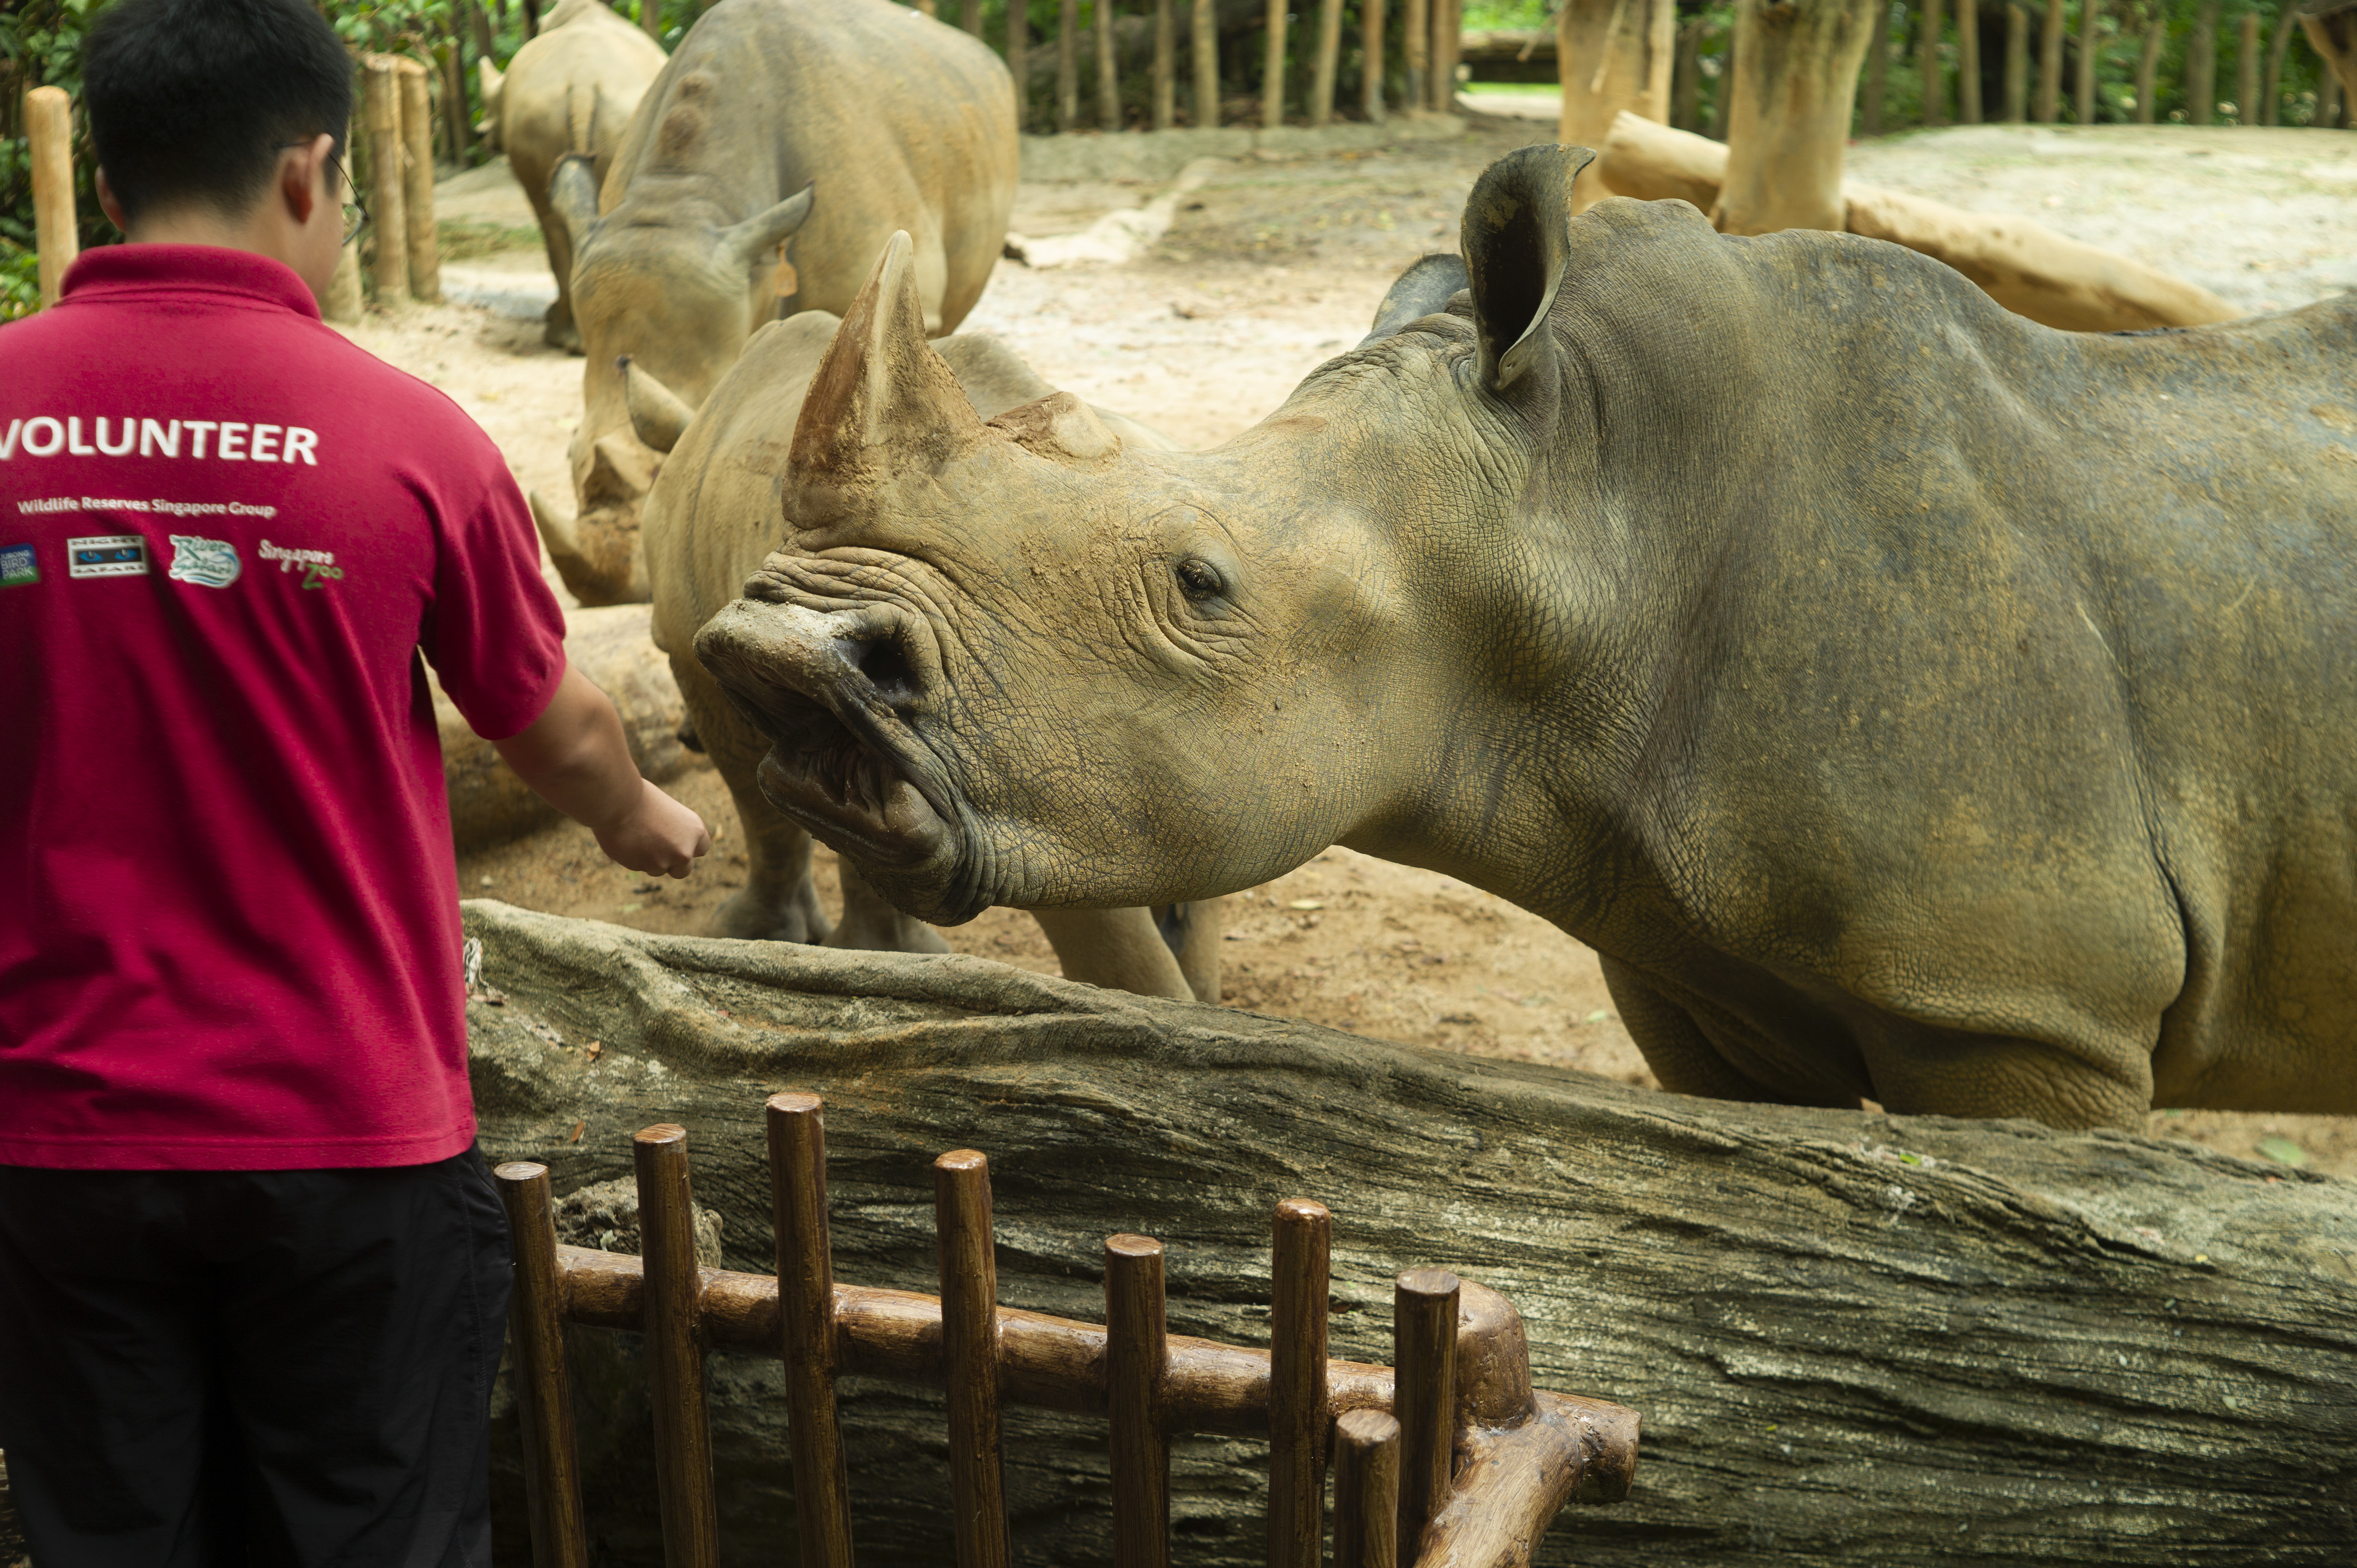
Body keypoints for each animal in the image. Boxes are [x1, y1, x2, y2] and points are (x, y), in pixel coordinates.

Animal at [476, 0, 666, 353]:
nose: (482, 135)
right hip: (554, 113)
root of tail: (582, 82)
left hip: (549, 111)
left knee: (551, 221)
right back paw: (575, 339)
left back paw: (568, 337)